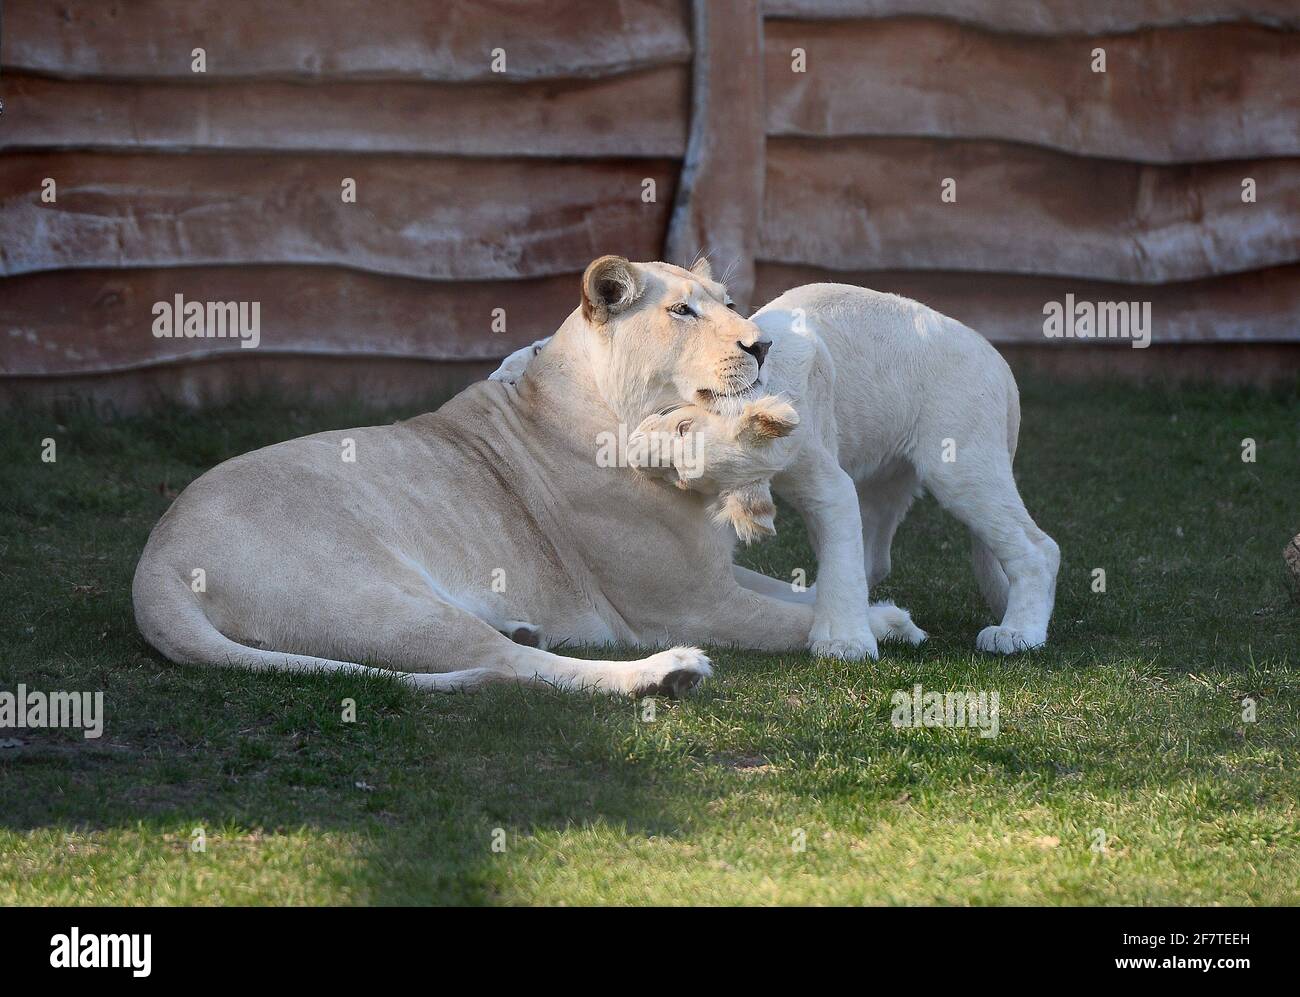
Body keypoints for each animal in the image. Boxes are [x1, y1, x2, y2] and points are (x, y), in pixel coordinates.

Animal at [133, 257, 922, 696]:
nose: (760, 343)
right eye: (682, 310)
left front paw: (878, 614)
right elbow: (782, 620)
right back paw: (665, 674)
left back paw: (525, 624)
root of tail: (155, 563)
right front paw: (864, 630)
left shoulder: (712, 569)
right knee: (508, 668)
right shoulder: (688, 603)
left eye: (728, 302)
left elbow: (795, 591)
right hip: (378, 598)